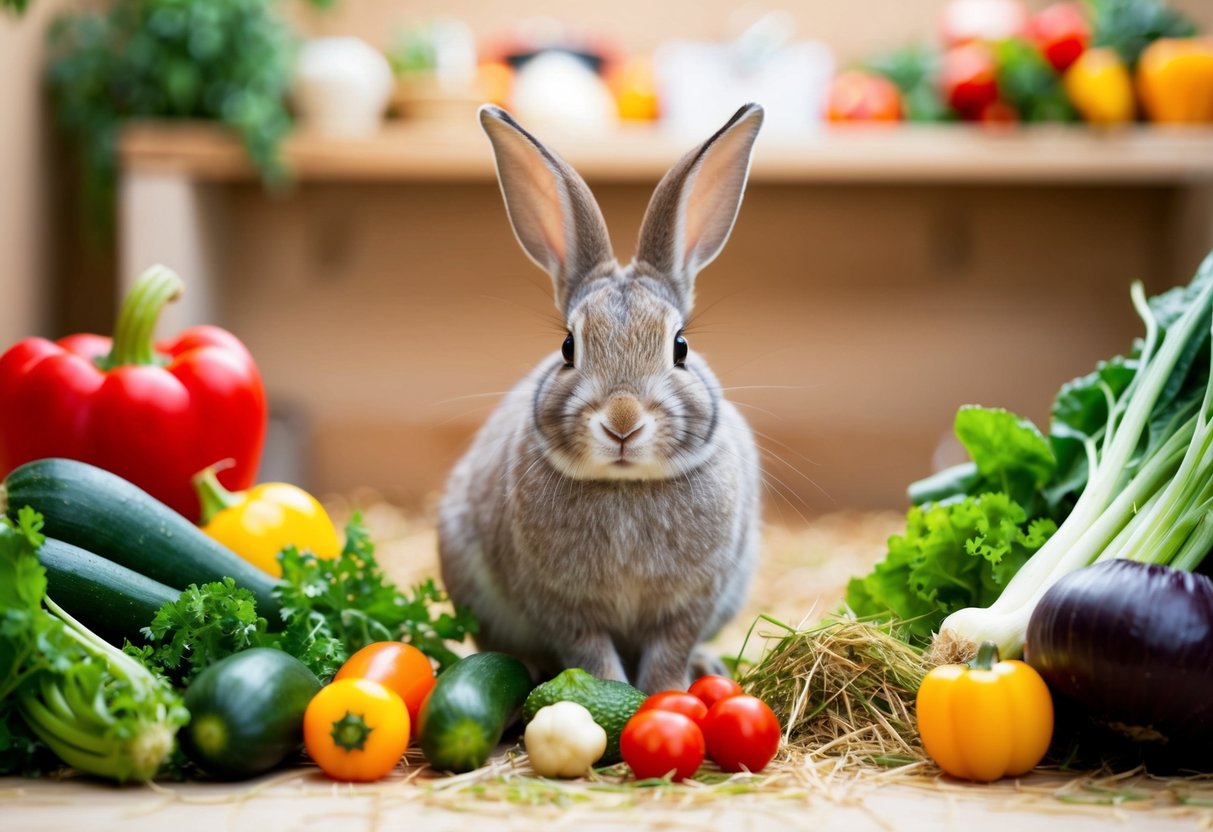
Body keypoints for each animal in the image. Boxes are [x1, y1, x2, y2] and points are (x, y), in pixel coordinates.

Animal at [438, 103, 765, 694]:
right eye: (568, 347)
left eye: (680, 347)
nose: (622, 422)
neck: (625, 485)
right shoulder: (563, 607)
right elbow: (591, 655)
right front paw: (612, 695)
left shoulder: (689, 606)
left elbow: (670, 651)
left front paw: (665, 694)